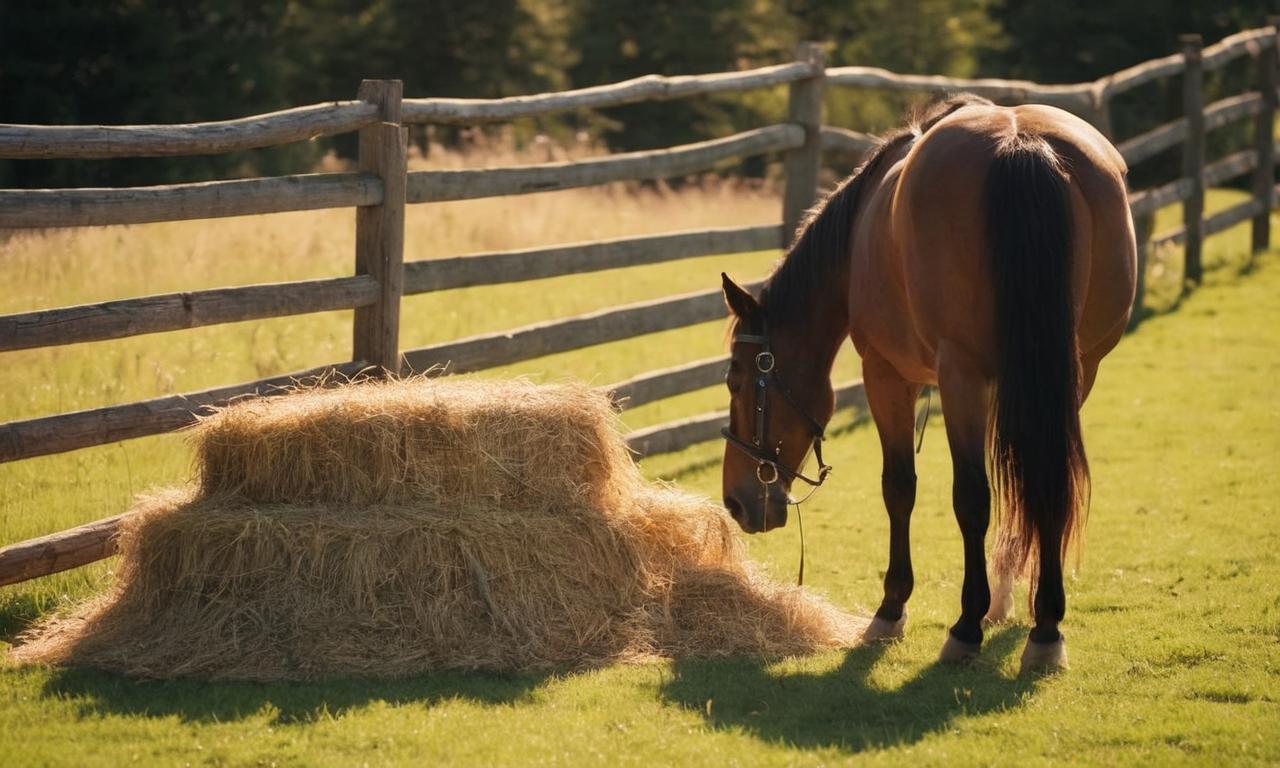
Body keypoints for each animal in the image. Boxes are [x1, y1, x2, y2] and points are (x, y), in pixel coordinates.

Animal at [727, 94, 1136, 670]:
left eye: (736, 381)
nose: (736, 502)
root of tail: (1022, 145)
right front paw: (1009, 600)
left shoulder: (887, 374)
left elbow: (900, 487)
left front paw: (892, 609)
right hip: (1074, 370)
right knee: (1049, 483)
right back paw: (1045, 629)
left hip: (960, 375)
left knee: (973, 498)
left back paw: (965, 628)